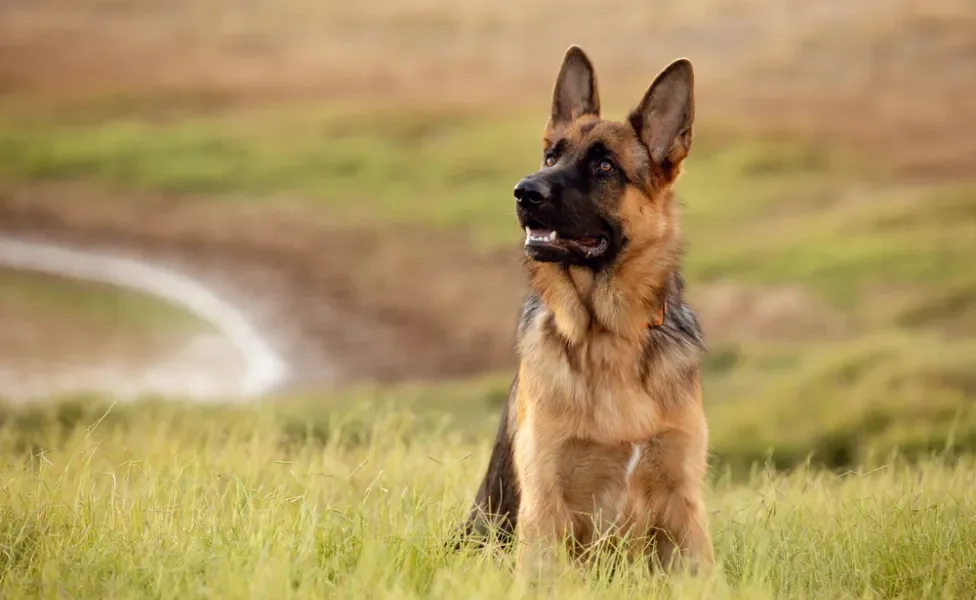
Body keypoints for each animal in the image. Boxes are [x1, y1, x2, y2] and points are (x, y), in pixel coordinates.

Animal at [458, 44, 716, 576]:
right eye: (551, 155)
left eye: (605, 167)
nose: (524, 192)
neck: (609, 334)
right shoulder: (546, 503)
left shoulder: (684, 503)